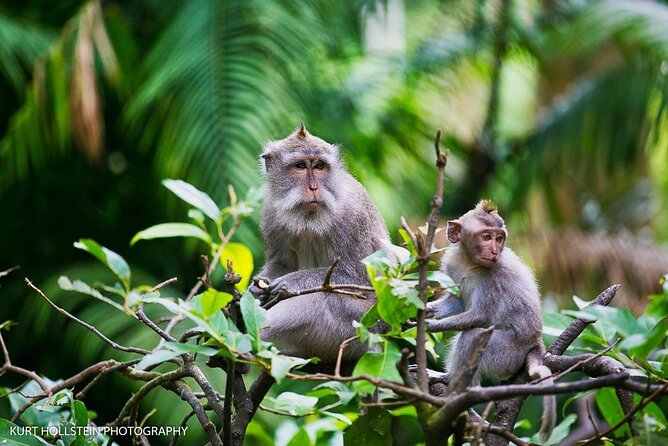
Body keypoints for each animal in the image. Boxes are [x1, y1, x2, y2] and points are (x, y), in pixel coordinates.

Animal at [248, 124, 391, 366]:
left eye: (319, 166)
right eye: (300, 166)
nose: (314, 187)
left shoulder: (354, 217)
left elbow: (359, 280)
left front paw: (292, 282)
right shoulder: (270, 212)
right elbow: (283, 263)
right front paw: (257, 288)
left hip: (361, 328)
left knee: (316, 302)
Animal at [425, 200, 556, 441]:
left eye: (499, 238)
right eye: (486, 237)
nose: (494, 251)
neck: (469, 261)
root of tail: (536, 345)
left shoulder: (494, 276)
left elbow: (480, 316)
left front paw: (429, 326)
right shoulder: (452, 264)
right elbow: (456, 301)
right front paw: (421, 311)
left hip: (506, 353)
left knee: (473, 336)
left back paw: (455, 385)